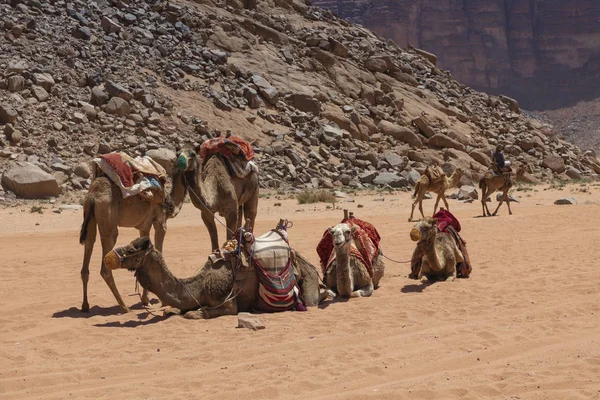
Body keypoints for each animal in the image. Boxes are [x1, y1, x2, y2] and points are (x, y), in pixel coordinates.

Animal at [79, 164, 186, 314]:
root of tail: (92, 196)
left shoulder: (144, 226)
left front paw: (146, 300)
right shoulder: (161, 223)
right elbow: (159, 251)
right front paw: (162, 302)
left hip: (90, 218)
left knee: (88, 246)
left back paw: (85, 306)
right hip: (108, 220)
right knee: (106, 267)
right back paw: (124, 307)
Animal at [105, 236, 336, 320]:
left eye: (132, 250)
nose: (108, 257)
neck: (200, 285)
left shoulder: (228, 302)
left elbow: (199, 313)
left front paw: (194, 313)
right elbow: (175, 309)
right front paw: (172, 310)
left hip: (308, 286)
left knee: (313, 299)